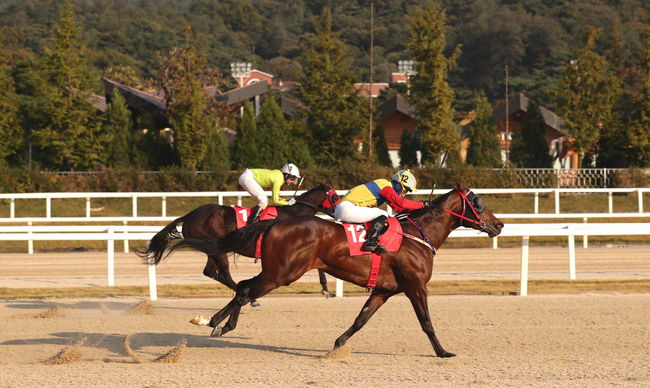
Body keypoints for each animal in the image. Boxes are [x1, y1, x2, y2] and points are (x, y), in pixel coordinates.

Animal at [137, 183, 340, 296]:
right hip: (217, 248)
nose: (340, 211)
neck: (293, 214)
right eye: (335, 197)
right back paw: (246, 296)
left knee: (209, 272)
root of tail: (188, 215)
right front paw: (324, 287)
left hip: (214, 249)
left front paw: (325, 287)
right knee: (224, 273)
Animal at [167, 185, 502, 358]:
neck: (417, 234)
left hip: (278, 271)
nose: (499, 224)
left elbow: (361, 319)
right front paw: (443, 352)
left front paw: (338, 346)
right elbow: (427, 322)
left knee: (242, 287)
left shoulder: (384, 290)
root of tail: (274, 224)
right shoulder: (416, 286)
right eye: (478, 202)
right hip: (282, 273)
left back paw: (222, 324)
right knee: (244, 288)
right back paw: (213, 321)